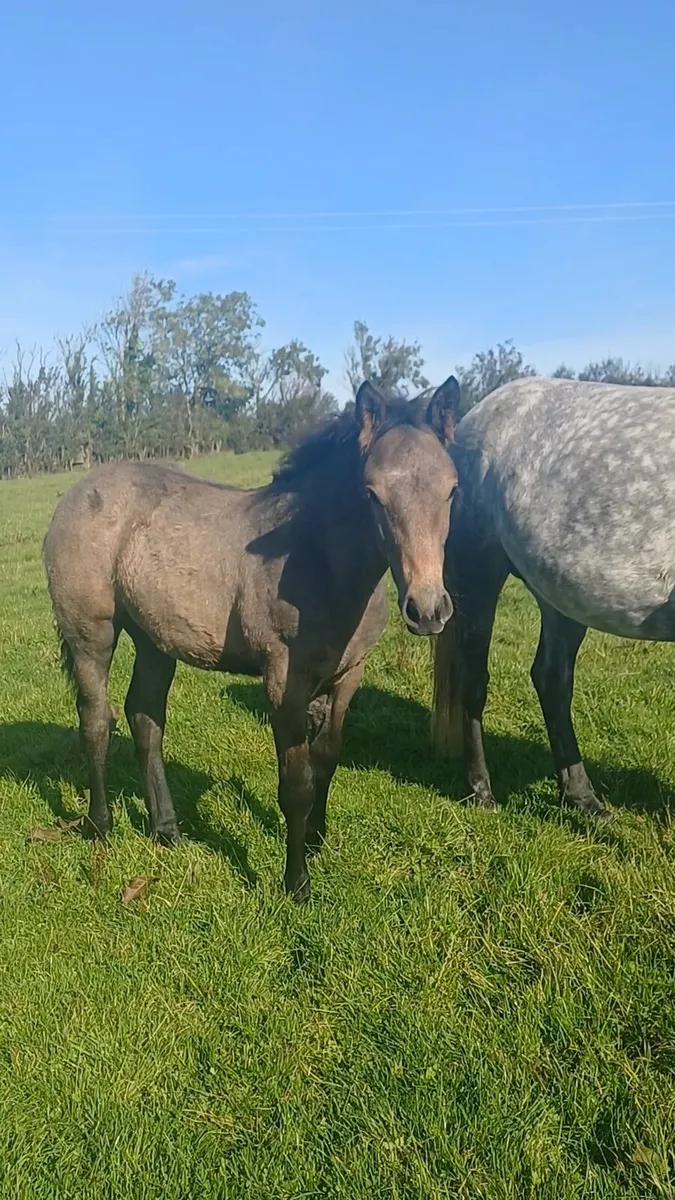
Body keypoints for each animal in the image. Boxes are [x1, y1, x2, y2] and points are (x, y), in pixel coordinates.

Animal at [44, 377, 460, 902]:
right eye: (372, 493)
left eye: (452, 489)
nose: (428, 610)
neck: (316, 559)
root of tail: (75, 492)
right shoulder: (283, 681)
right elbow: (296, 783)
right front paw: (297, 883)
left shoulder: (348, 675)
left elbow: (327, 758)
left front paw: (317, 841)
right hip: (90, 632)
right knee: (98, 719)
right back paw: (100, 825)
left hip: (155, 641)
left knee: (145, 718)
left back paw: (167, 830)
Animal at [432, 375, 675, 818]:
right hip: (478, 577)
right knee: (474, 679)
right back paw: (482, 791)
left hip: (560, 598)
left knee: (552, 678)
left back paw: (582, 798)